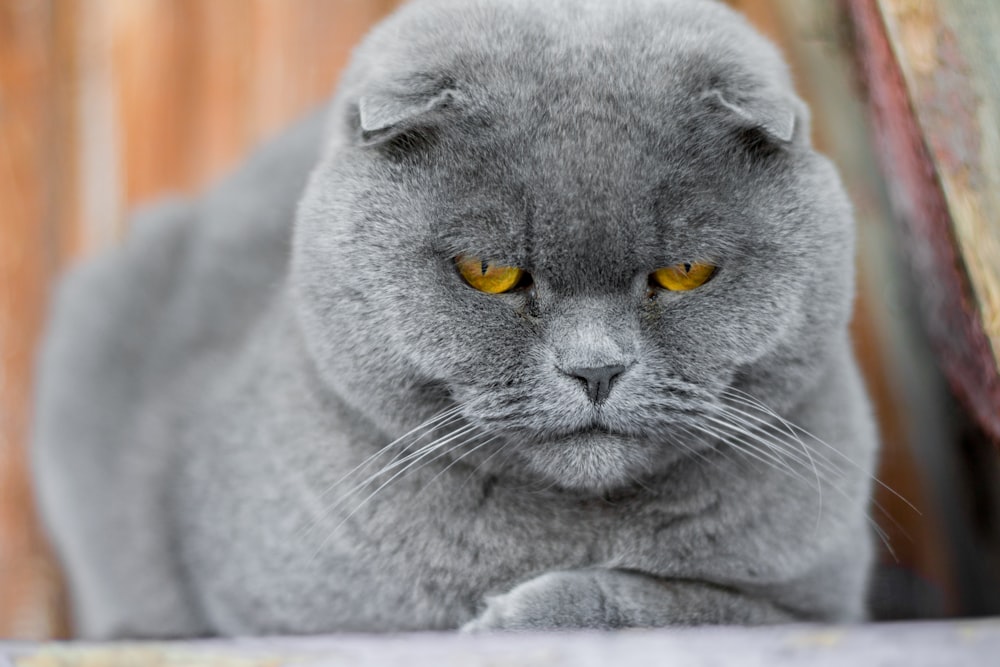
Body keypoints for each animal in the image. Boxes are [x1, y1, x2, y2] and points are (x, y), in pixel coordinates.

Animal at [31, 0, 876, 640]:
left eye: (685, 272)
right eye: (489, 272)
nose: (596, 367)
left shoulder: (822, 603)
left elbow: (684, 600)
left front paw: (516, 613)